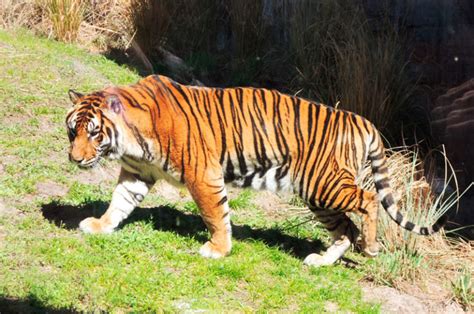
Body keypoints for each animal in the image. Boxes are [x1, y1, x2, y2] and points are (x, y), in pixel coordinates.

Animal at [65, 75, 446, 266]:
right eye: (73, 131)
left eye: (94, 132)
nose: (75, 158)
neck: (129, 139)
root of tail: (360, 119)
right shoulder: (136, 172)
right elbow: (119, 202)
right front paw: (100, 226)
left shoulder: (203, 175)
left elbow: (215, 215)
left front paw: (218, 250)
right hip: (318, 195)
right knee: (345, 229)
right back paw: (321, 261)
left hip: (326, 184)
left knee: (368, 199)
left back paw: (370, 247)